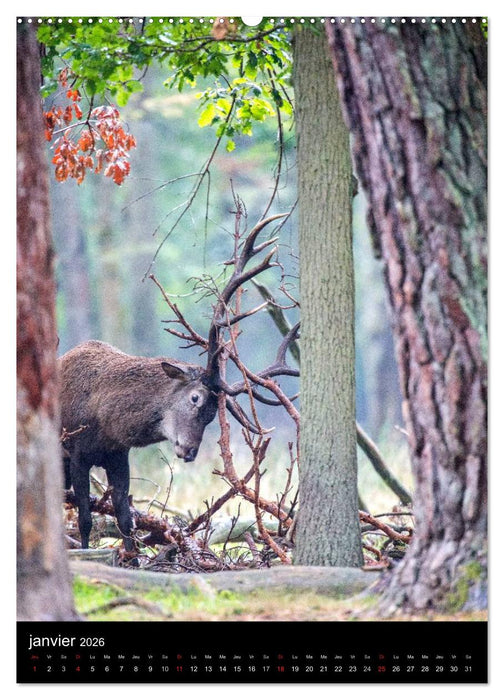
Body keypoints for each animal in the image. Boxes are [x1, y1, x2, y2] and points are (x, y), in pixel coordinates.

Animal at [60, 210, 300, 558]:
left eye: (214, 414)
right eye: (196, 398)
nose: (189, 451)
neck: (105, 422)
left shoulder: (119, 455)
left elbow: (125, 517)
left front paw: (132, 557)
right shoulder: (77, 452)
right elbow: (85, 520)